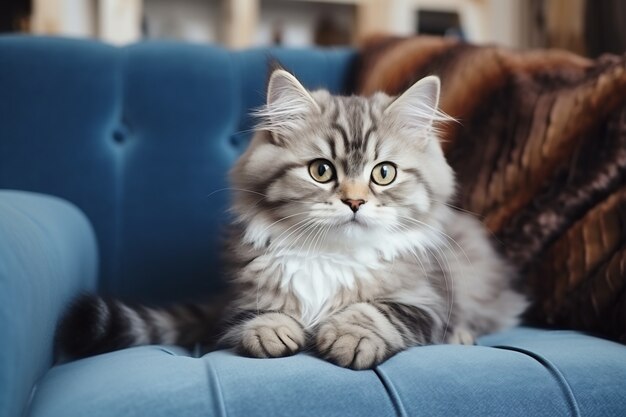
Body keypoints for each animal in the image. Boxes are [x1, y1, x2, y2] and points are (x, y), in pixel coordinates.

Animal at [57, 69, 528, 370]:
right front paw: (273, 330)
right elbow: (256, 315)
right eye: (321, 171)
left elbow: (376, 311)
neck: (331, 256)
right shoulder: (241, 296)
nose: (354, 202)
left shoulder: (425, 300)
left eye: (383, 173)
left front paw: (350, 335)